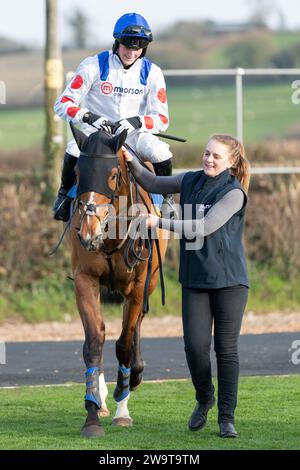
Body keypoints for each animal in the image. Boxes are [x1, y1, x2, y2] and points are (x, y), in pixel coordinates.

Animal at [67, 125, 168, 436]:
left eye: (112, 174)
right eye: (77, 172)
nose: (88, 231)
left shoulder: (138, 285)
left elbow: (124, 343)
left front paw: (123, 404)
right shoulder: (85, 279)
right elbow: (94, 340)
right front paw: (92, 411)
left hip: (149, 283)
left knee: (135, 326)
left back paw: (133, 377)